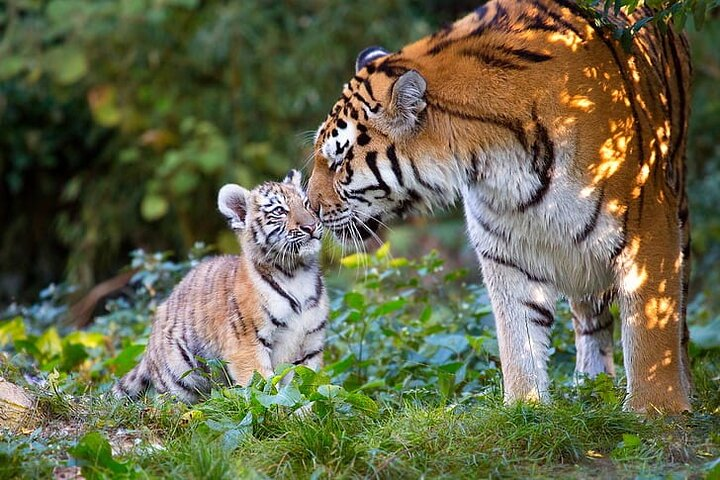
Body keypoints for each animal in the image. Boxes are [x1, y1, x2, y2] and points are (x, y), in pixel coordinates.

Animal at [113, 170, 328, 403]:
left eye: (306, 204)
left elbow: (306, 383)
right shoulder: (247, 344)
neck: (297, 273)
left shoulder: (311, 344)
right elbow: (265, 389)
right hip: (180, 376)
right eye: (279, 211)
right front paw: (283, 408)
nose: (311, 226)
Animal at [306, 0, 692, 413]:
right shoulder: (505, 251)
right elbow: (518, 338)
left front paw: (656, 411)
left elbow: (650, 330)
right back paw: (590, 383)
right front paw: (526, 407)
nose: (310, 207)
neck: (498, 163)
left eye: (338, 162)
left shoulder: (647, 229)